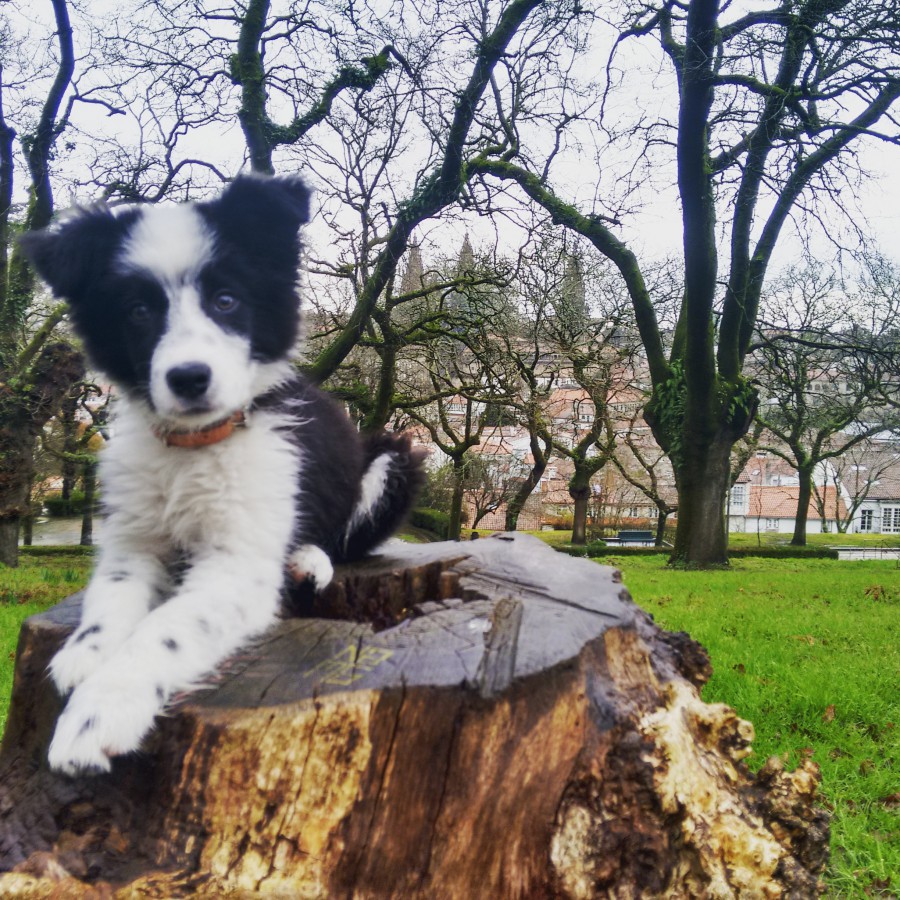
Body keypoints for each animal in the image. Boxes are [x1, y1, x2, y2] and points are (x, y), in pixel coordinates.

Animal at [22, 176, 424, 772]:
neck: (193, 447)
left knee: (343, 537)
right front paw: (85, 655)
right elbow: (111, 597)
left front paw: (101, 712)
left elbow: (164, 629)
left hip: (391, 460)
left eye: (226, 300)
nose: (189, 377)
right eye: (138, 310)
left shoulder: (235, 564)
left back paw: (307, 559)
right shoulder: (131, 540)